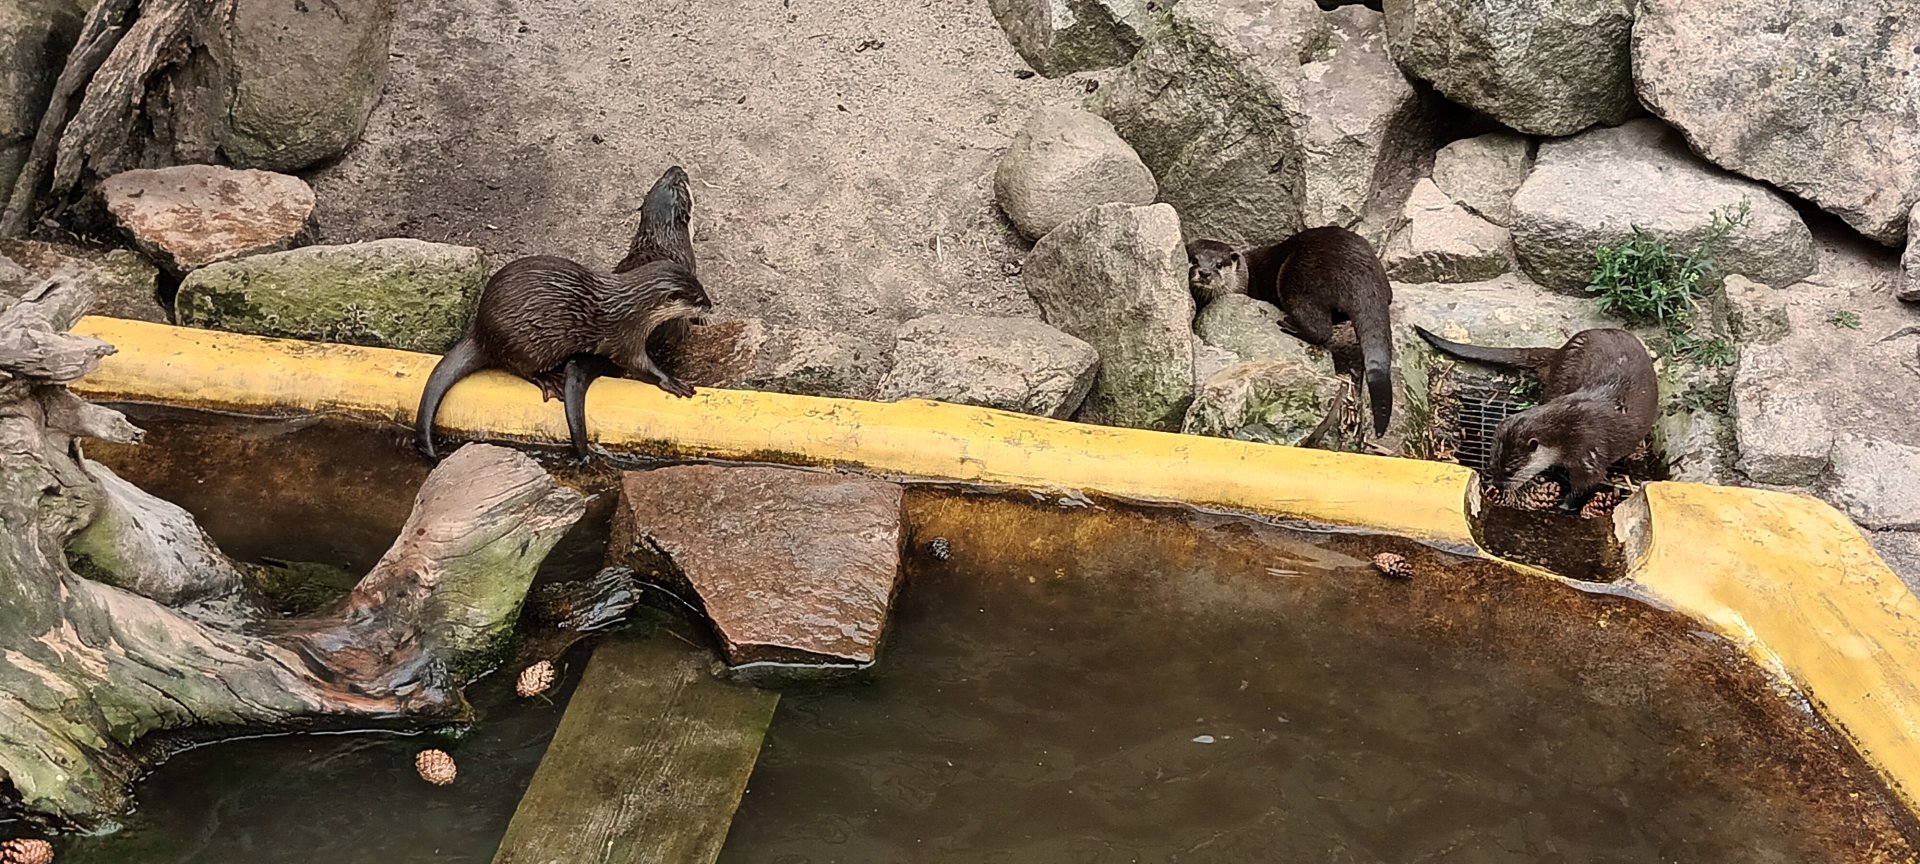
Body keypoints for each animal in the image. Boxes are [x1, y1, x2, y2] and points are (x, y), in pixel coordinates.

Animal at [415, 256, 712, 459]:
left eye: (702, 287)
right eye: (697, 298)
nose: (710, 304)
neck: (633, 308)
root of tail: (480, 331)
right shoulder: (625, 337)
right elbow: (640, 365)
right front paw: (672, 381)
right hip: (526, 344)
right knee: (518, 367)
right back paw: (549, 380)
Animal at [1188, 227, 1395, 436]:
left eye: (1219, 264)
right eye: (1194, 260)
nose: (1204, 272)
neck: (1245, 279)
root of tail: (1359, 269)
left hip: (1297, 278)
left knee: (1320, 328)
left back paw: (1290, 326)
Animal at [1412, 326, 1657, 510]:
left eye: (1510, 471)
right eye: (1491, 464)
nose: (1498, 486)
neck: (1567, 429)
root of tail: (1562, 349)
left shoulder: (1588, 453)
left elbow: (1586, 485)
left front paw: (1564, 506)